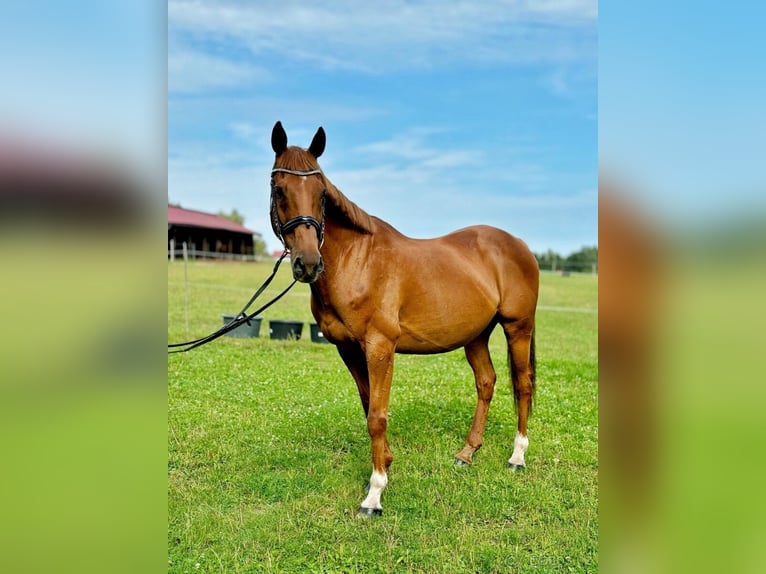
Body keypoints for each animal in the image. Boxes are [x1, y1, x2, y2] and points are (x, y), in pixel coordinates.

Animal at [270, 121, 540, 516]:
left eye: (321, 193)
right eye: (279, 189)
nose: (307, 263)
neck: (358, 260)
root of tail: (519, 244)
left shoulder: (380, 347)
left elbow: (377, 416)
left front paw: (374, 493)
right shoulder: (349, 349)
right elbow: (369, 405)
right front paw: (387, 460)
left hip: (518, 327)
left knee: (522, 384)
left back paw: (517, 457)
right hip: (476, 335)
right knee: (487, 382)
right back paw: (466, 453)